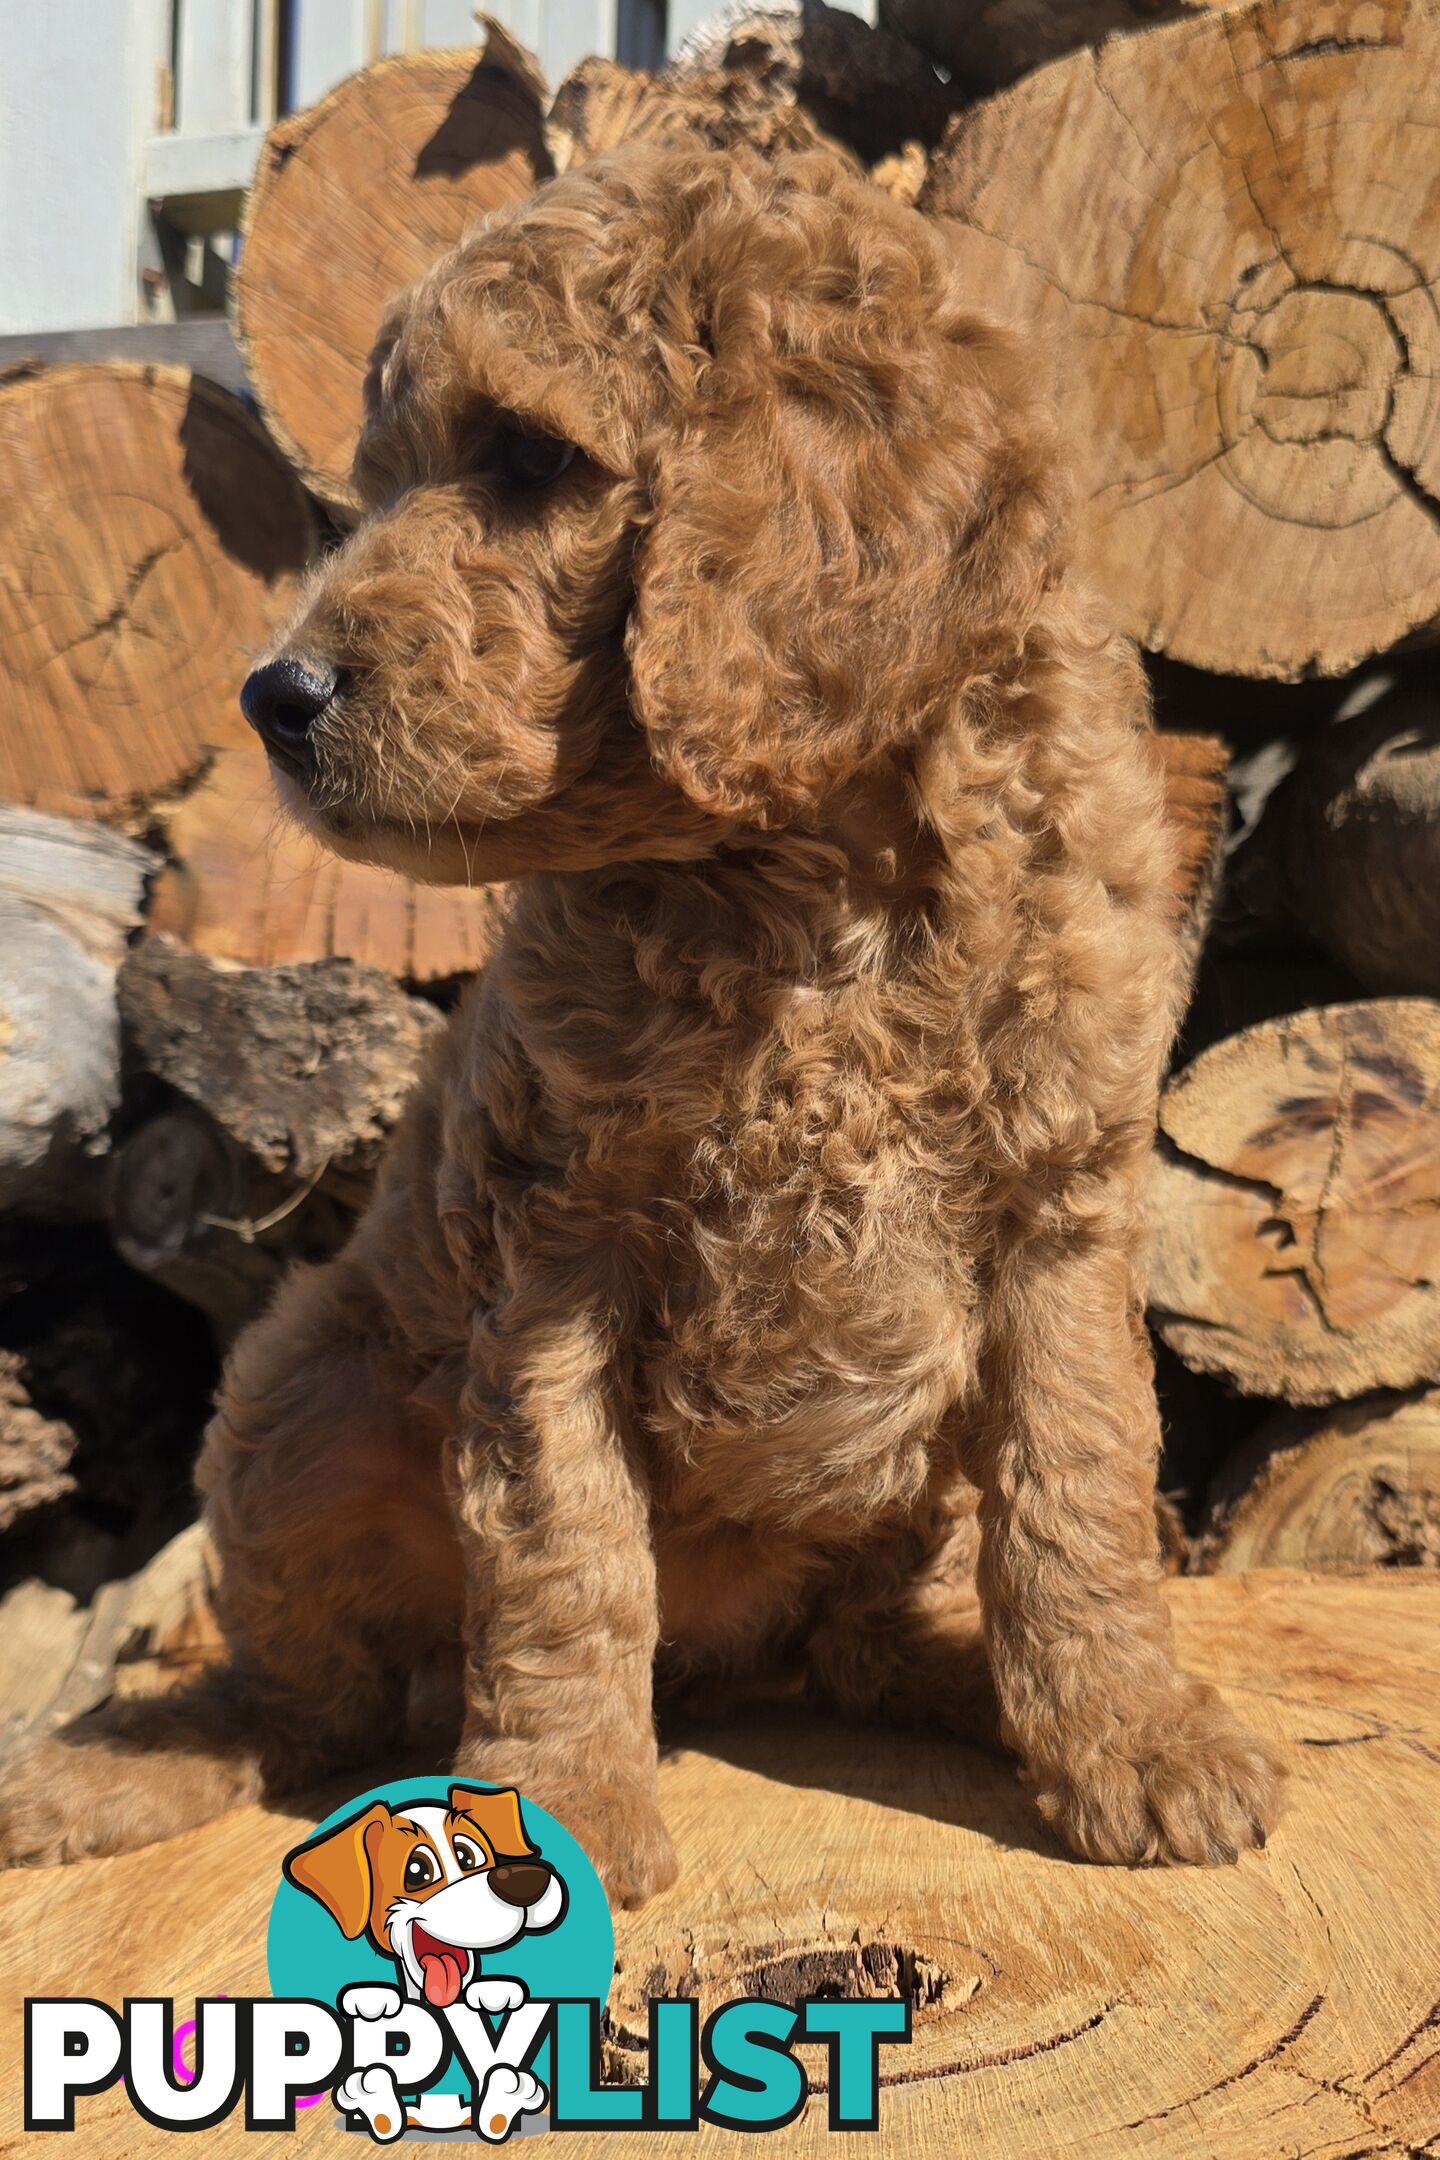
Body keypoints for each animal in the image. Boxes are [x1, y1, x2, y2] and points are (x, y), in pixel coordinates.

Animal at [0, 143, 1286, 1900]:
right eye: (380, 485)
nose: (274, 697)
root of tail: (735, 1661)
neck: (806, 892)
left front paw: (1135, 1739)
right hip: (296, 1390)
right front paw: (553, 1807)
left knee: (868, 1634)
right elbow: (567, 1551)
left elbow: (1076, 1493)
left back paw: (968, 1685)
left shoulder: (1059, 1209)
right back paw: (129, 1764)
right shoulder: (556, 1245)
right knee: (313, 1695)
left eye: (533, 460)